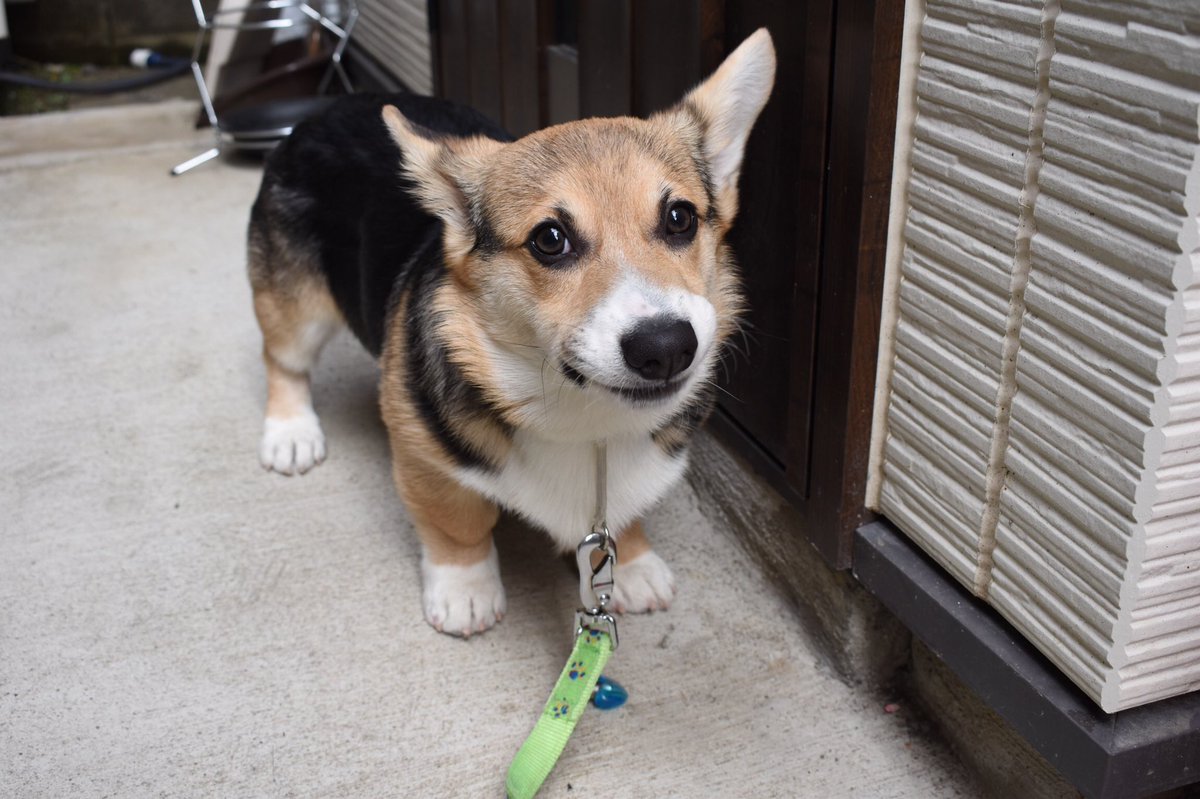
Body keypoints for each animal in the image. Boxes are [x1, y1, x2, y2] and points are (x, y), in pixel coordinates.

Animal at [246, 29, 776, 637]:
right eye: (550, 239)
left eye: (680, 218)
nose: (665, 349)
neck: (589, 424)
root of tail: (326, 109)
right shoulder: (423, 454)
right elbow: (457, 523)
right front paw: (465, 590)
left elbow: (626, 515)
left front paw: (635, 566)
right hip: (296, 307)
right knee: (283, 359)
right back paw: (291, 433)